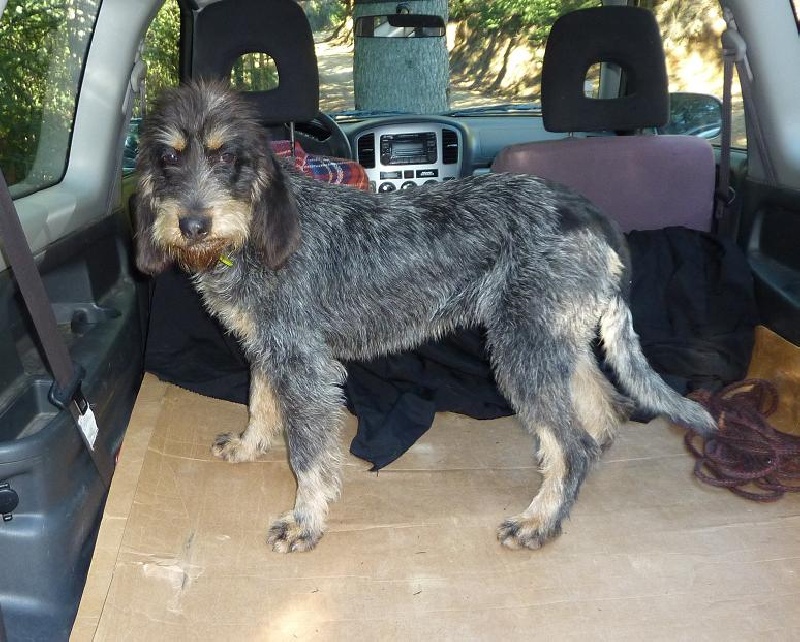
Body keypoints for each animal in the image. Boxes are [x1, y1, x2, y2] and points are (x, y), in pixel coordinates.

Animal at [135, 80, 716, 553]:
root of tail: (588, 211)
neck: (250, 235)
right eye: (169, 159)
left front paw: (306, 519)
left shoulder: (304, 366)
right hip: (552, 340)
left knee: (571, 446)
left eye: (226, 157)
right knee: (602, 410)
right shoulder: (269, 350)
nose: (192, 224)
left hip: (519, 350)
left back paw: (541, 521)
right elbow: (259, 402)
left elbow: (307, 454)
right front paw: (249, 445)